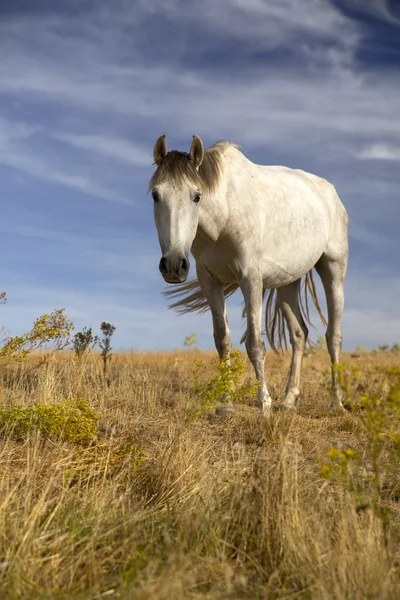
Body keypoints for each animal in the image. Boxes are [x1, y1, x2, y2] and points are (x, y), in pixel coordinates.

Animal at [149, 135, 346, 412]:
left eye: (197, 196)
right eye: (156, 195)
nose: (174, 265)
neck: (226, 214)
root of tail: (331, 193)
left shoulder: (251, 279)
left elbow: (255, 344)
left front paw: (263, 402)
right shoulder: (210, 282)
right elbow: (222, 341)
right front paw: (226, 401)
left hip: (334, 270)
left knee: (333, 336)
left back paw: (336, 402)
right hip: (288, 283)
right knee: (299, 335)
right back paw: (289, 400)